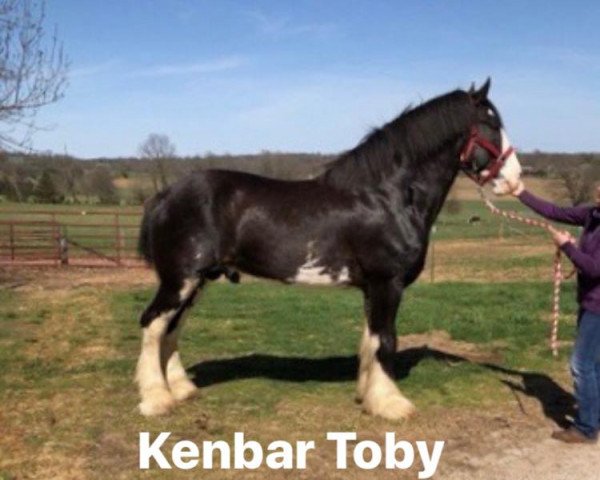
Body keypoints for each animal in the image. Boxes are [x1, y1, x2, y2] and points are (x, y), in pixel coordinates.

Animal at [135, 80, 520, 418]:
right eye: (491, 123)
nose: (515, 180)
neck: (387, 196)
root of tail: (165, 195)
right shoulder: (387, 282)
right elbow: (386, 340)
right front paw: (391, 405)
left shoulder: (372, 288)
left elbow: (370, 341)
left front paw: (368, 396)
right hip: (180, 279)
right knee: (153, 324)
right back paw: (156, 400)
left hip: (198, 281)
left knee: (172, 327)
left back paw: (181, 389)